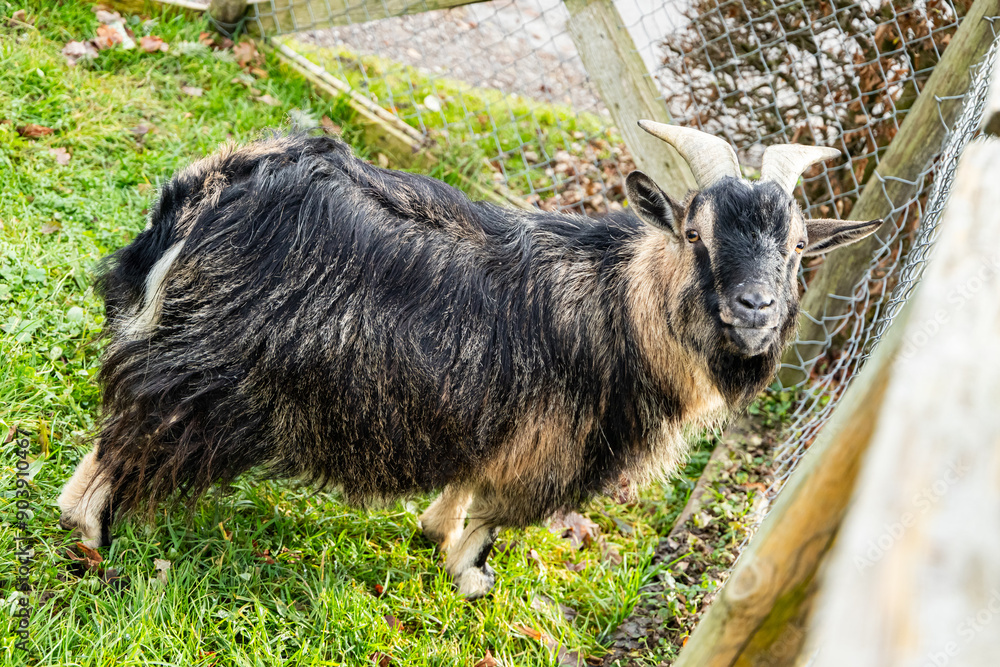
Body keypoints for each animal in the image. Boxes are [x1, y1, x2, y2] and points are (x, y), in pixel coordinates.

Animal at [58, 123, 880, 598]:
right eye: (695, 234)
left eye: (799, 248)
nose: (755, 309)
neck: (623, 309)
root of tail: (217, 187)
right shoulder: (552, 444)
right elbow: (495, 517)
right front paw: (471, 576)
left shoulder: (495, 418)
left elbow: (466, 487)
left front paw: (435, 531)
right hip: (204, 376)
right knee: (121, 443)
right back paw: (93, 544)